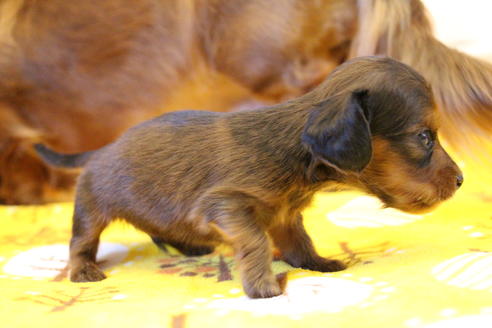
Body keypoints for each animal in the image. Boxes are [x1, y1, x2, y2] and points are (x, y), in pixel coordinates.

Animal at [36, 56, 464, 298]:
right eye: (425, 137)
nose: (461, 180)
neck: (294, 151)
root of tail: (102, 149)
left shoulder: (287, 215)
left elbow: (299, 242)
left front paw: (317, 263)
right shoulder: (226, 206)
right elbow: (256, 242)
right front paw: (263, 286)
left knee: (157, 229)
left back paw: (189, 248)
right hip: (92, 208)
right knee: (81, 242)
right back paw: (84, 270)